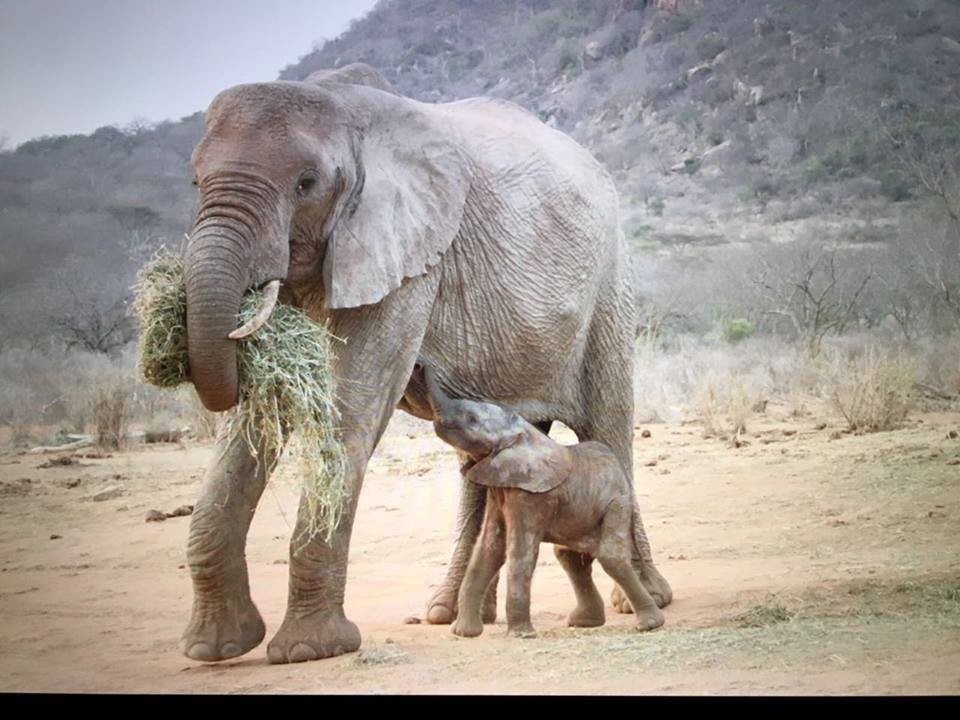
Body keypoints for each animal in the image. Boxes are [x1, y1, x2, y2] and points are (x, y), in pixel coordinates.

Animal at [418, 366, 660, 636]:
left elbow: (519, 551)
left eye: (471, 419)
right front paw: (464, 633)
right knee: (569, 556)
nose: (420, 367)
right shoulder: (500, 488)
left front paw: (521, 635)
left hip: (618, 503)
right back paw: (585, 621)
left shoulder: (532, 498)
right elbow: (490, 548)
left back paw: (649, 624)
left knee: (610, 556)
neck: (521, 433)